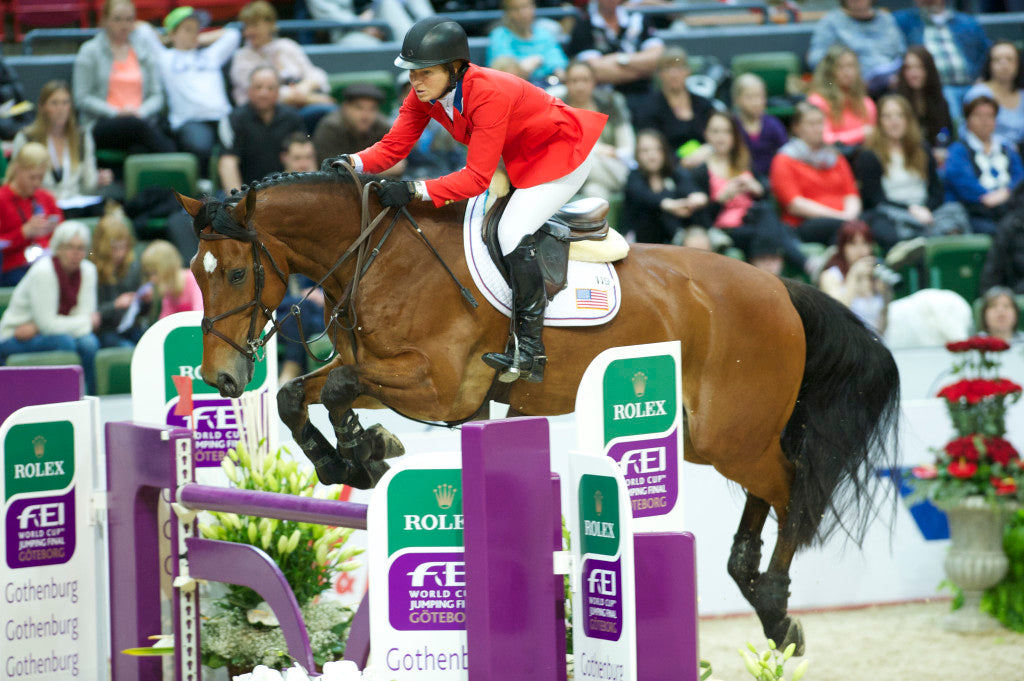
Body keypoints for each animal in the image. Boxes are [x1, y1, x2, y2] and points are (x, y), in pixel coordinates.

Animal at [180, 164, 901, 655]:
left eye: (237, 273)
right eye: (195, 270)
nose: (220, 377)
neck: (376, 258)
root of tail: (780, 286)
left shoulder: (440, 385)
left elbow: (332, 393)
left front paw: (365, 451)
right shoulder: (383, 372)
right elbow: (297, 394)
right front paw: (348, 459)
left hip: (734, 432)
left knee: (794, 490)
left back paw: (773, 604)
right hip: (713, 436)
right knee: (770, 489)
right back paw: (750, 580)